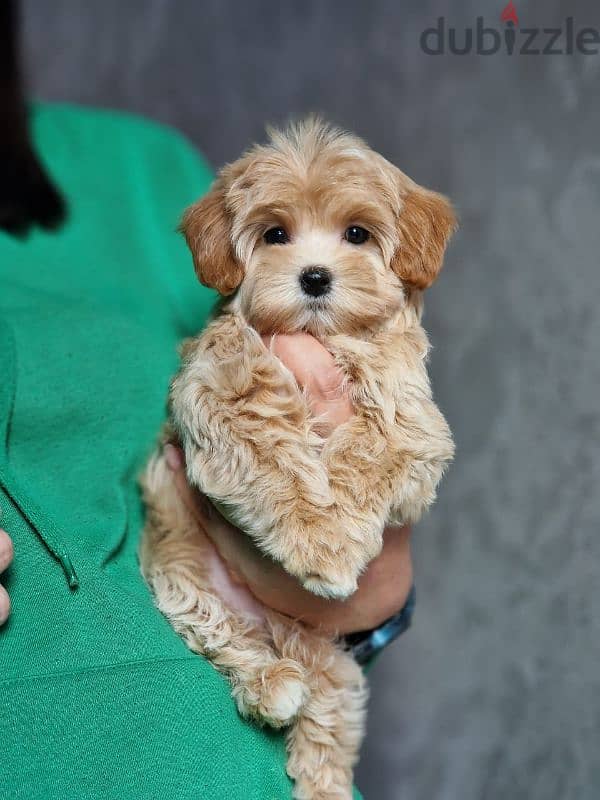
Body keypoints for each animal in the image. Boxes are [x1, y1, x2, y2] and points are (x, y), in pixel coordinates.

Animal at [142, 120, 454, 800]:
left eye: (357, 234)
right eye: (274, 234)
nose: (314, 278)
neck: (321, 339)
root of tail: (276, 629)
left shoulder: (417, 426)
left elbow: (374, 449)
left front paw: (336, 541)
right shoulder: (214, 389)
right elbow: (269, 447)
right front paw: (319, 540)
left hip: (331, 660)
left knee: (329, 718)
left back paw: (324, 782)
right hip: (178, 571)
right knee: (221, 631)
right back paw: (271, 684)